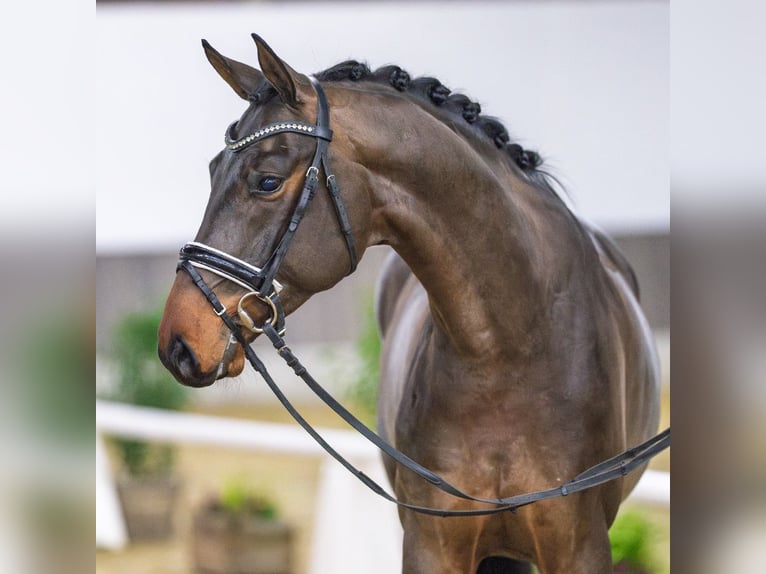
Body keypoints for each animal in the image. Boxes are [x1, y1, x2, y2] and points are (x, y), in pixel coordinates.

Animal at [158, 35, 661, 574]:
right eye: (213, 170)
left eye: (267, 181)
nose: (177, 345)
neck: (512, 350)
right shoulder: (429, 544)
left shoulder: (580, 546)